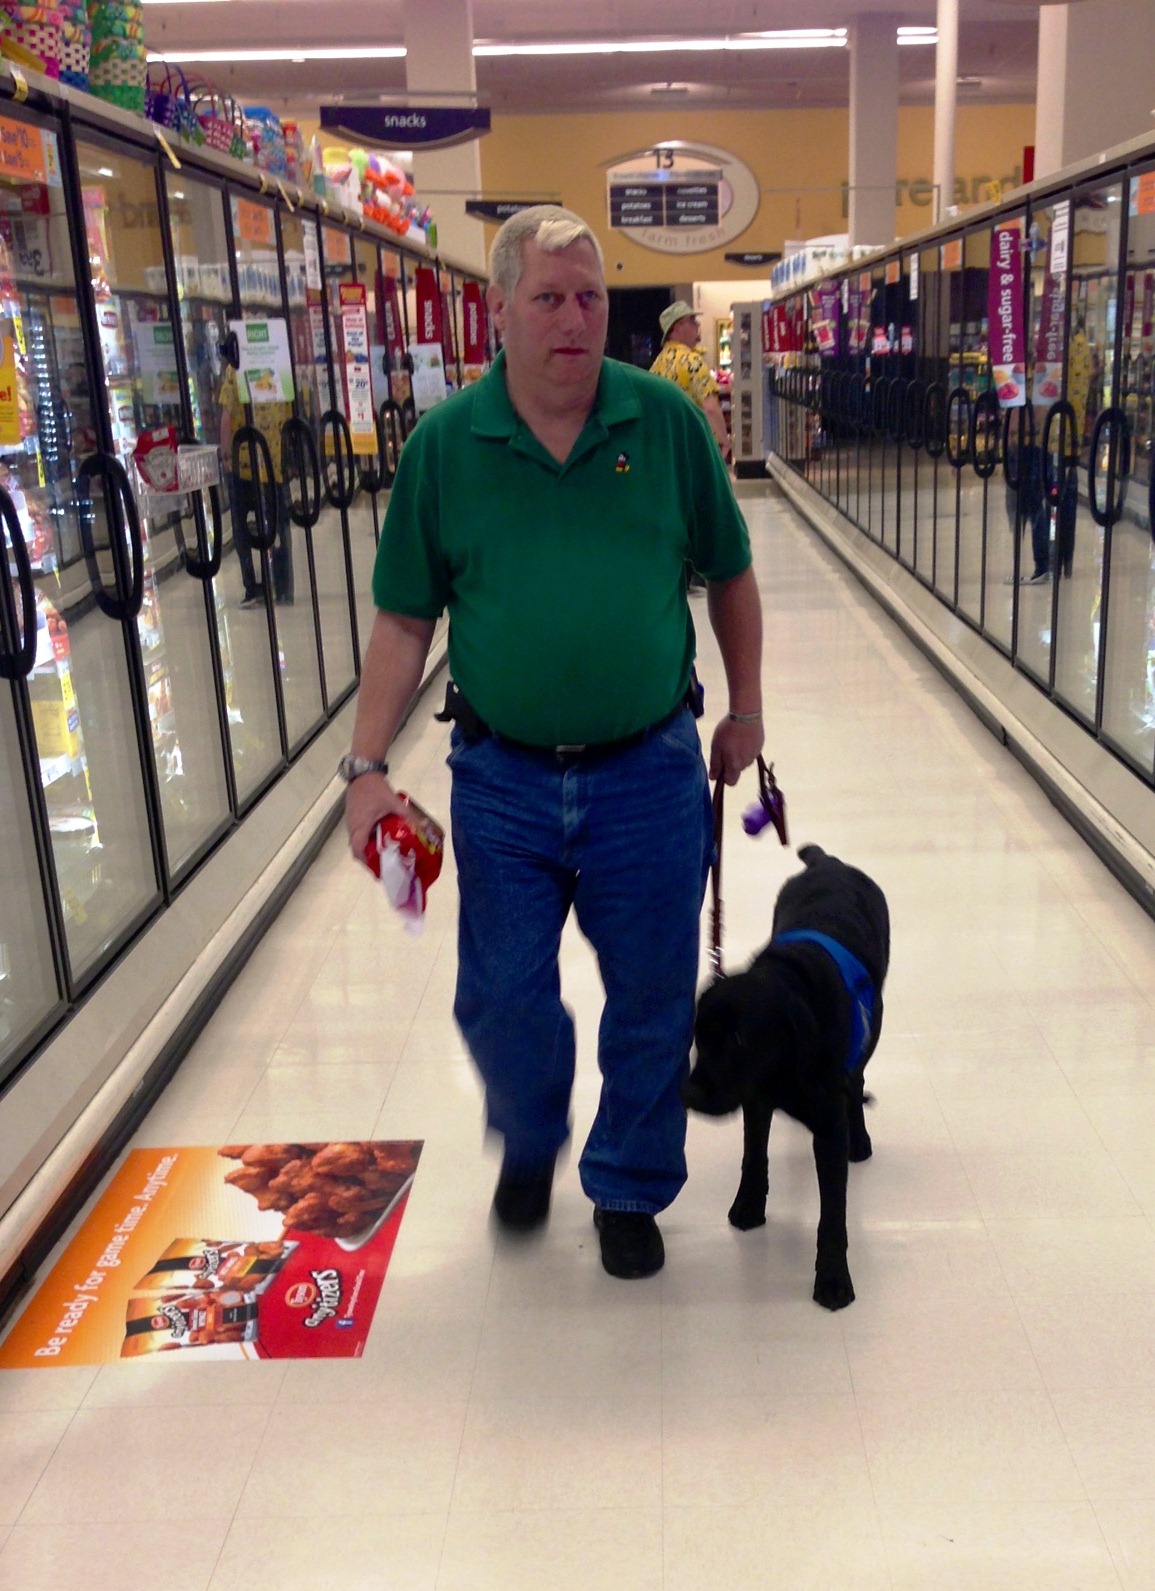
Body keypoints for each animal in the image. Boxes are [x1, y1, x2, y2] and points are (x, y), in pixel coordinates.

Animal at [684, 840, 890, 1310]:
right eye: (698, 1036)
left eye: (739, 1038)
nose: (689, 1093)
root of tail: (830, 862)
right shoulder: (756, 1099)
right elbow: (752, 1157)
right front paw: (748, 1206)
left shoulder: (828, 1127)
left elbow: (832, 1216)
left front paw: (833, 1278)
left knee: (858, 1080)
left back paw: (860, 1138)